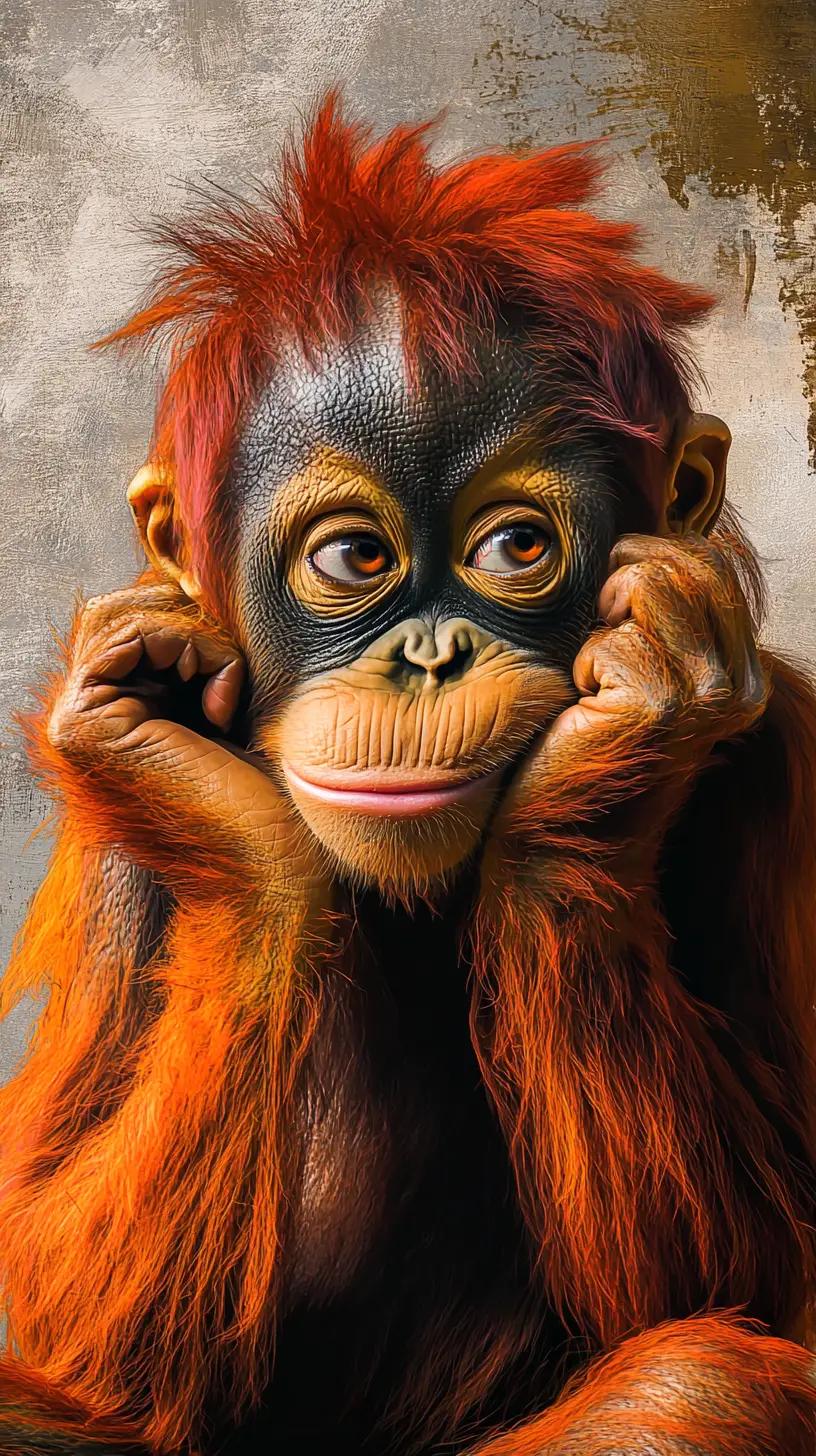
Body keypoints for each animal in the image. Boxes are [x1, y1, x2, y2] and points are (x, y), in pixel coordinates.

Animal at [1, 94, 816, 1456]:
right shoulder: (112, 858)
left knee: (702, 1385)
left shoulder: (789, 764)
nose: (428, 656)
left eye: (516, 546)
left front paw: (608, 760)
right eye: (353, 558)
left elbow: (764, 1273)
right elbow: (66, 1310)